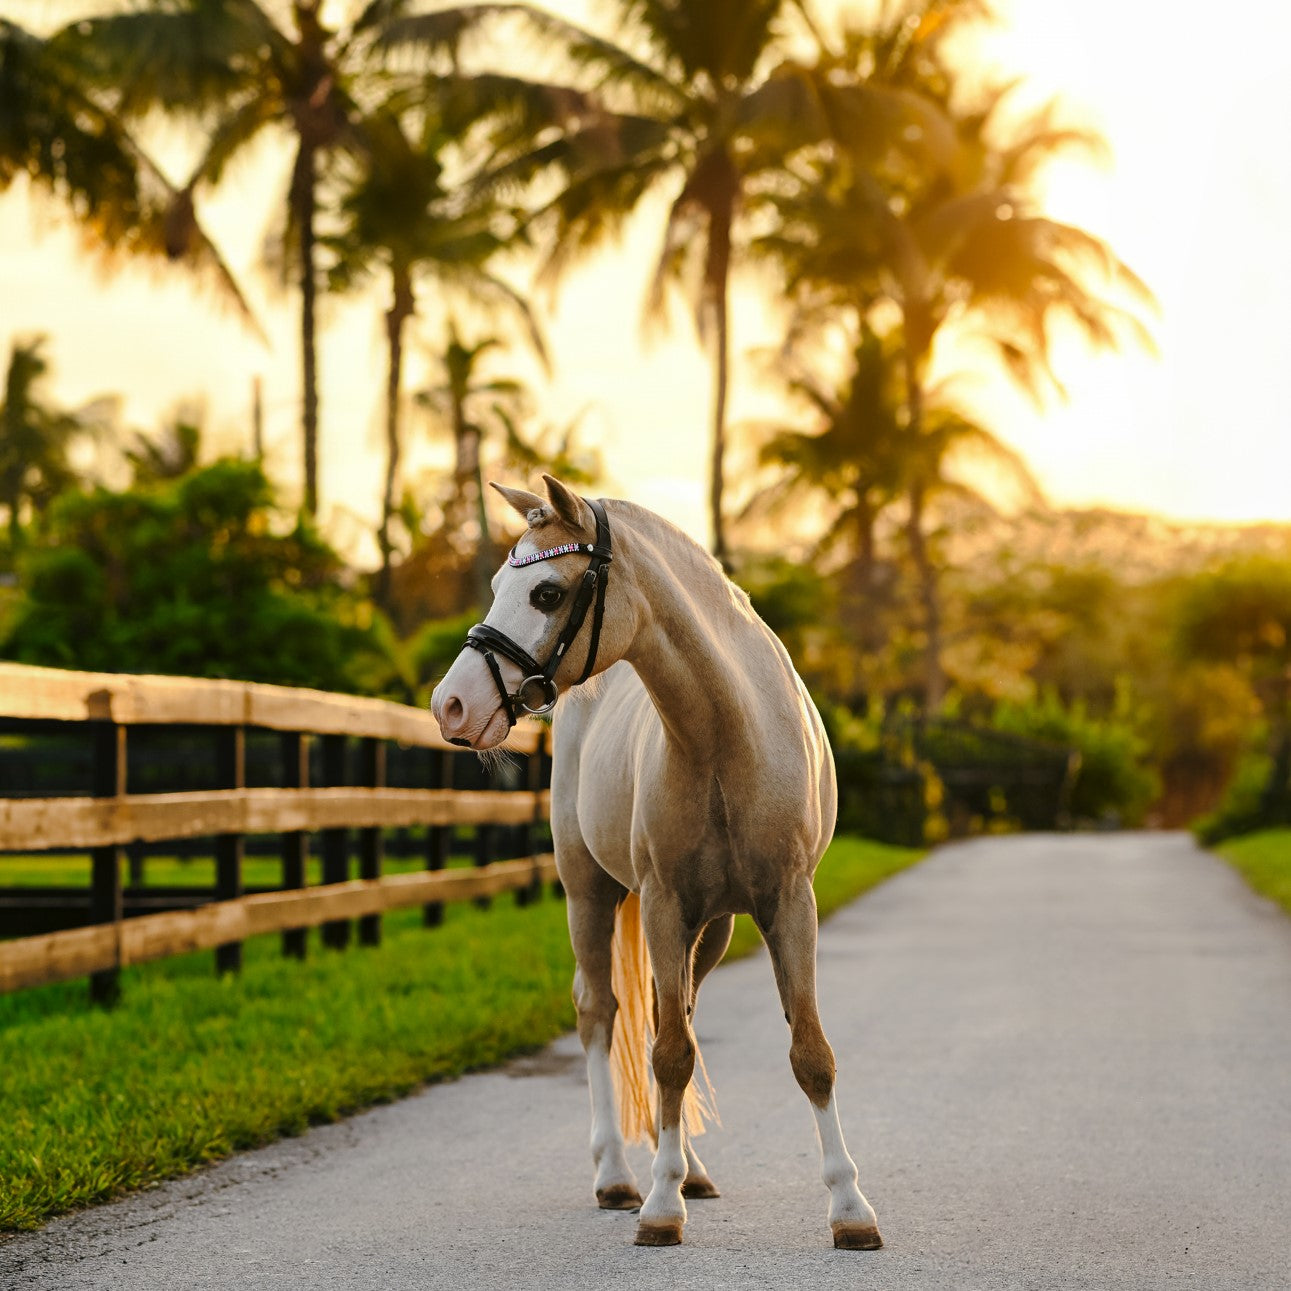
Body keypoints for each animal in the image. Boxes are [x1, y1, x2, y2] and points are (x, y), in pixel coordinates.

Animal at [430, 474, 882, 1250]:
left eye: (546, 592)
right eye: (494, 586)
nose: (451, 704)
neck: (726, 733)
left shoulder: (788, 903)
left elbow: (807, 1052)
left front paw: (850, 1208)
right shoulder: (666, 903)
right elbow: (667, 1054)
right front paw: (659, 1207)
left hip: (713, 928)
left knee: (673, 1018)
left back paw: (690, 1169)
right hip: (589, 893)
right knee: (601, 1013)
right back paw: (618, 1174)